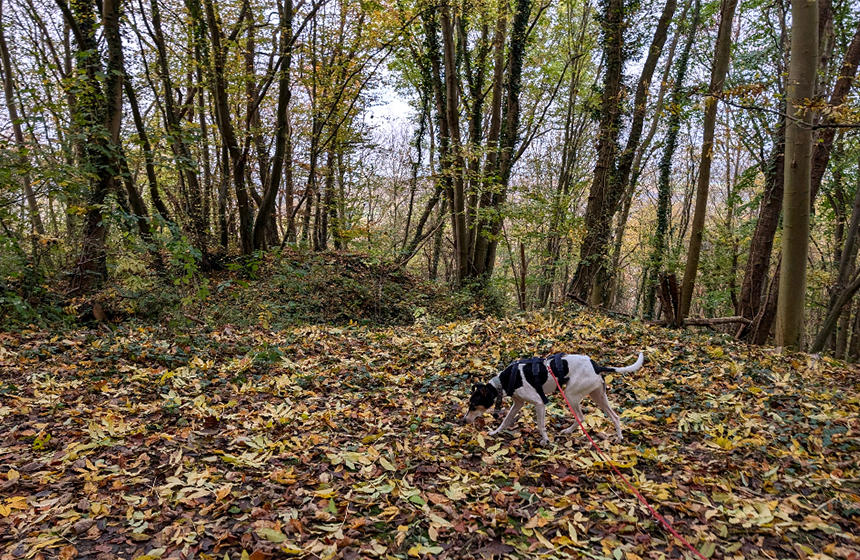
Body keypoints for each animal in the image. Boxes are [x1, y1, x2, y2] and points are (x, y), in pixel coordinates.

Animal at [464, 352, 640, 444]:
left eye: (473, 405)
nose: (464, 420)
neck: (504, 381)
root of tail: (596, 366)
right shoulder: (518, 404)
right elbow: (505, 421)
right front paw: (495, 432)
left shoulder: (539, 403)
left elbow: (541, 425)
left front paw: (545, 440)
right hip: (598, 397)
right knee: (615, 416)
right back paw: (619, 437)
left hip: (570, 395)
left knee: (581, 416)